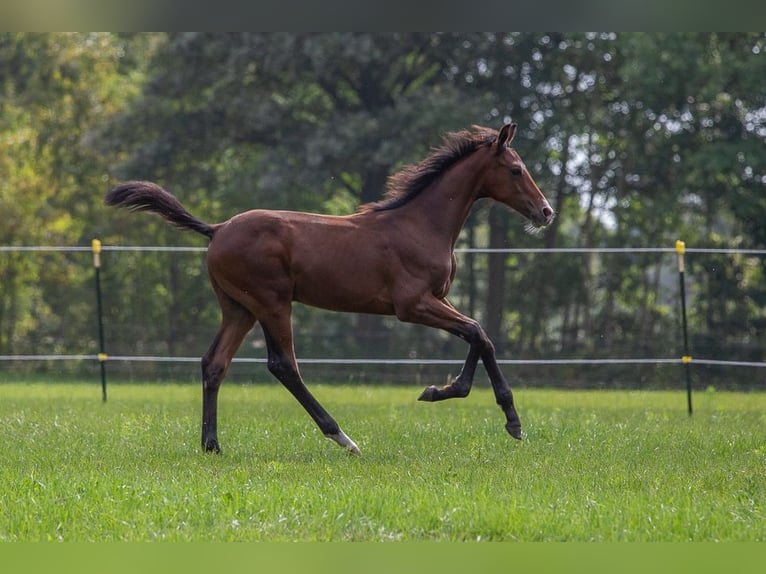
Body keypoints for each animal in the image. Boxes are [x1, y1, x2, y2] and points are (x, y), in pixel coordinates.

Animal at [106, 124, 552, 456]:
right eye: (516, 169)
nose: (546, 212)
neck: (420, 225)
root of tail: (216, 230)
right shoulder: (413, 305)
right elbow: (477, 331)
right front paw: (458, 398)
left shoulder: (438, 299)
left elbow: (481, 336)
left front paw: (498, 414)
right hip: (271, 303)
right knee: (283, 366)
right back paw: (343, 437)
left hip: (239, 308)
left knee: (214, 362)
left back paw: (211, 445)